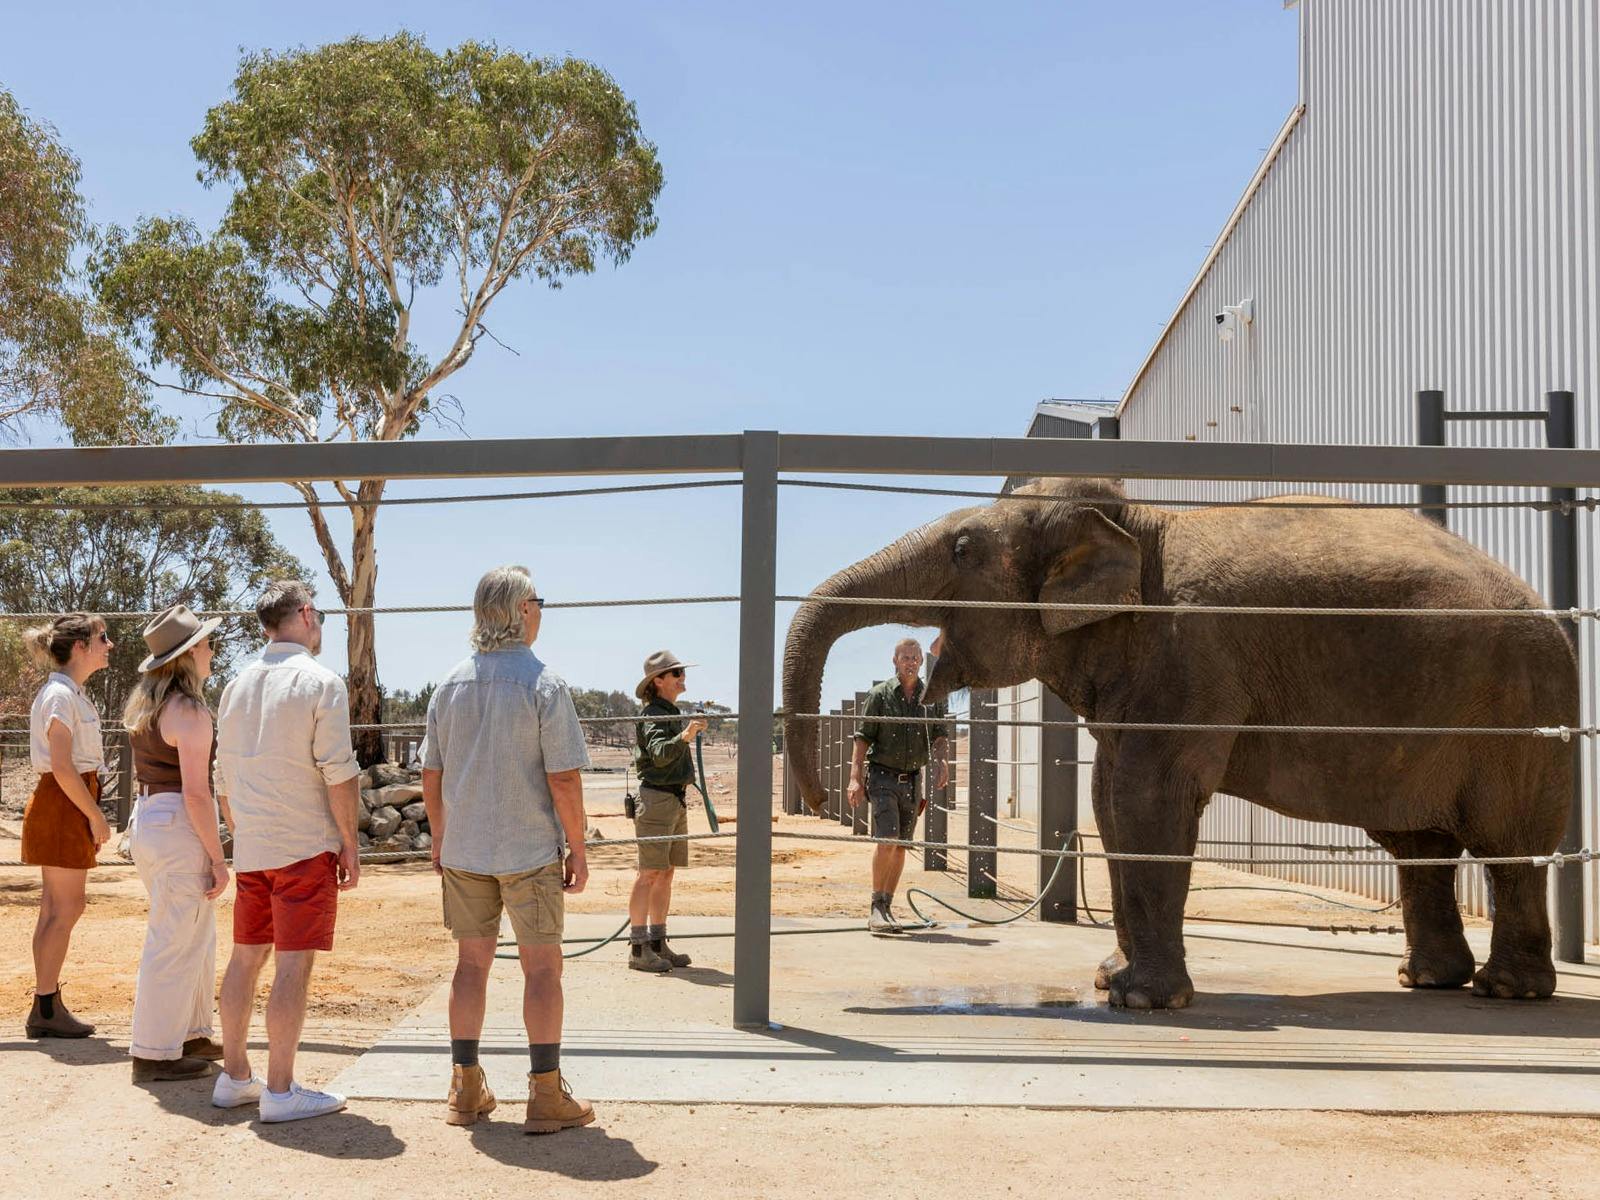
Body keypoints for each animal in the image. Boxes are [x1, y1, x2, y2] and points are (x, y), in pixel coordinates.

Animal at [781, 477, 1577, 1009]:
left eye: (963, 548)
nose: (821, 799)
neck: (1135, 522)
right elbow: (1108, 800)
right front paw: (1110, 979)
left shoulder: (1186, 656)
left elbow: (1145, 801)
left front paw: (1141, 1001)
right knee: (1420, 847)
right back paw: (1428, 980)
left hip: (1522, 718)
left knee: (1507, 848)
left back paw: (1506, 991)